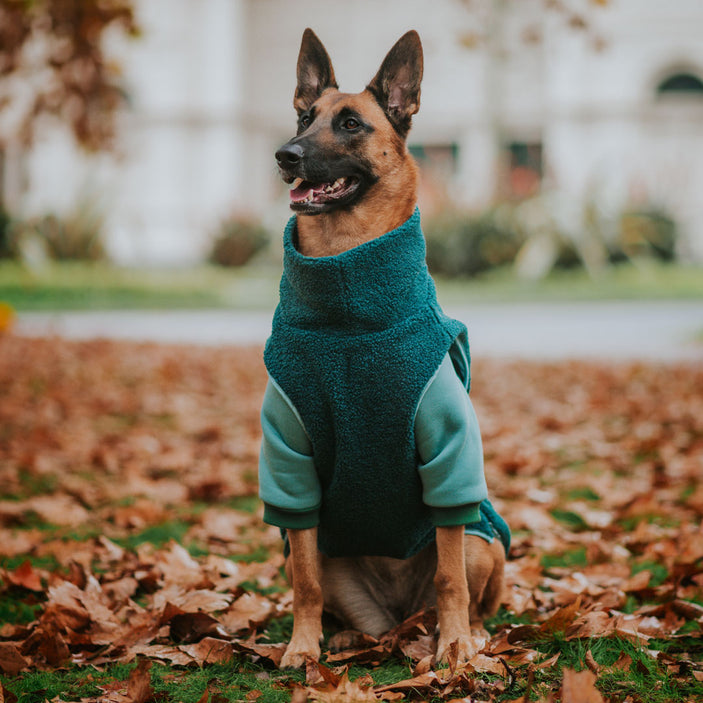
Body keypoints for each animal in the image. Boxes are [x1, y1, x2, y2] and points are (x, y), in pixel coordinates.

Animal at [262, 27, 508, 668]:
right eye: (303, 117)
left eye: (351, 124)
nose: (285, 154)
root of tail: (402, 619)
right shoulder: (291, 462)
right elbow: (303, 580)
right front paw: (302, 645)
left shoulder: (449, 455)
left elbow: (449, 577)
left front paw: (456, 645)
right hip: (337, 561)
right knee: (351, 610)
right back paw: (347, 637)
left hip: (484, 543)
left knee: (463, 587)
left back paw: (468, 633)